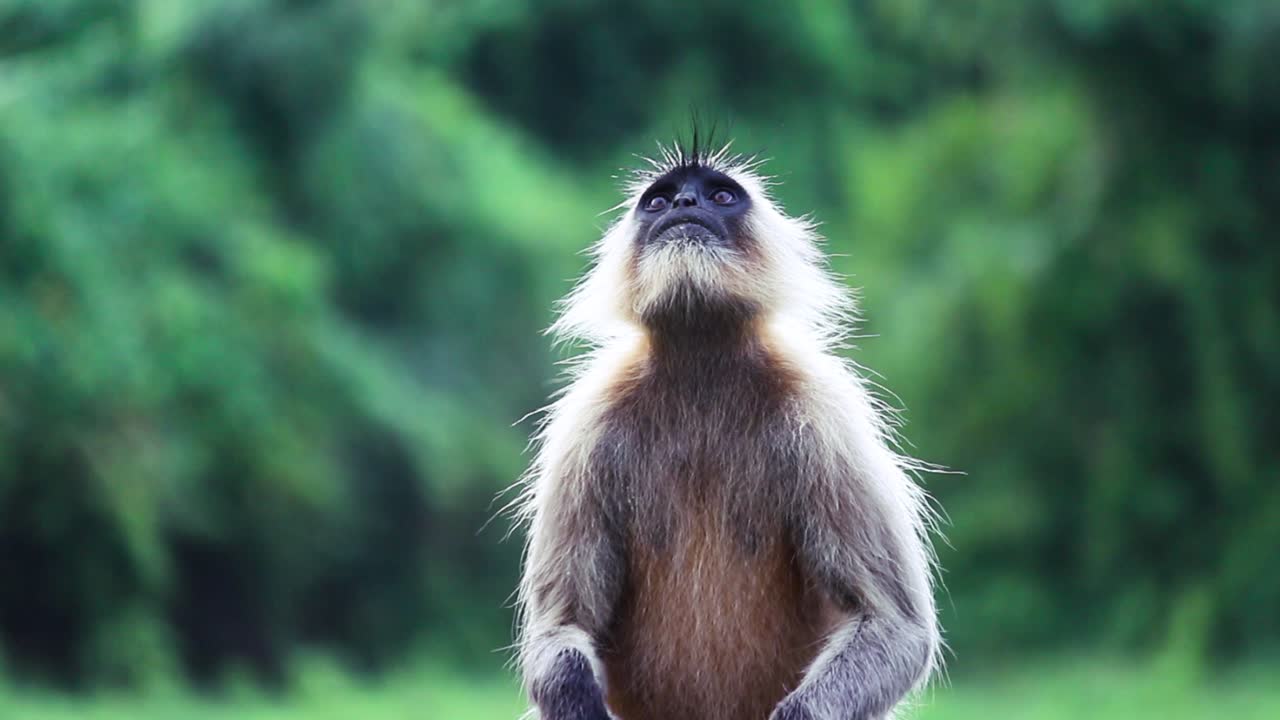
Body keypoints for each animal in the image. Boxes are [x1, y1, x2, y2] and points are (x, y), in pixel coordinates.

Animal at [512, 137, 940, 720]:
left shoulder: (828, 413)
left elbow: (895, 626)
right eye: (659, 202)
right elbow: (560, 624)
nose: (685, 204)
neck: (702, 363)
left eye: (719, 195)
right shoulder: (584, 424)